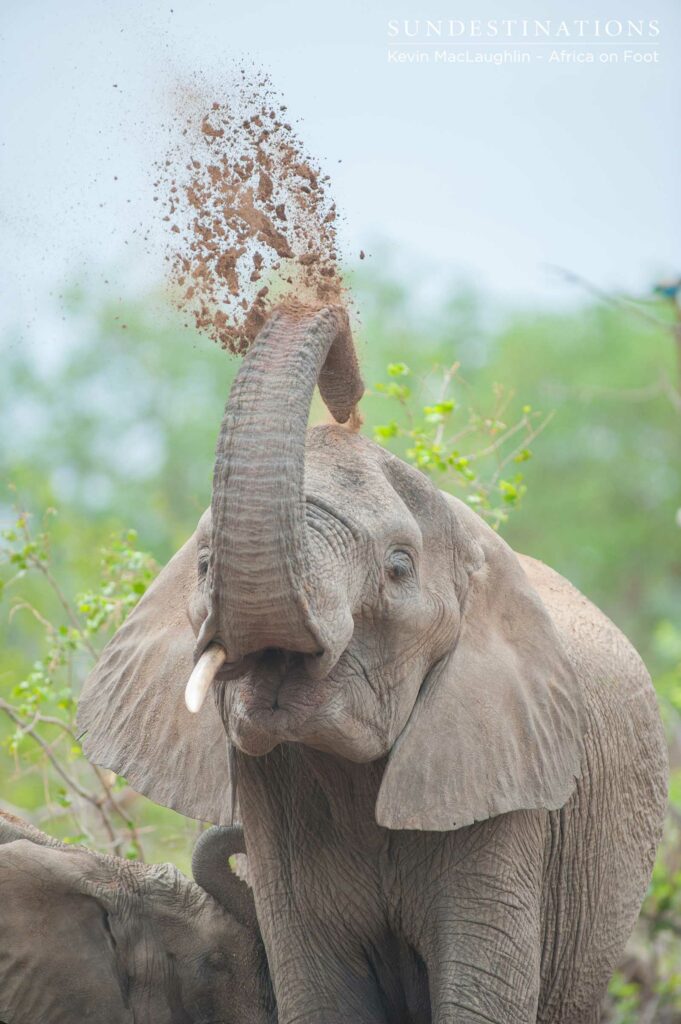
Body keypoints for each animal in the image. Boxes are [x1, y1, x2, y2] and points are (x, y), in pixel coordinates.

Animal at [78, 302, 668, 1023]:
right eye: (204, 563)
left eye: (398, 567)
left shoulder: (507, 788)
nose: (344, 379)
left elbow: (477, 998)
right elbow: (320, 995)